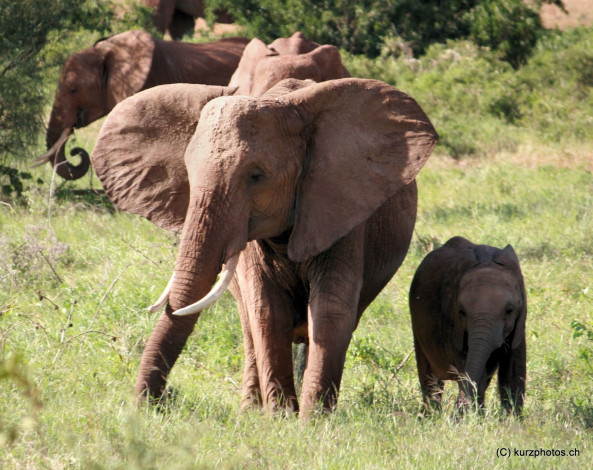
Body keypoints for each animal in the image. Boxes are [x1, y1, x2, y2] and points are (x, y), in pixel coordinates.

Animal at [91, 78, 434, 418]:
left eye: (256, 176)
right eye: (188, 174)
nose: (155, 403)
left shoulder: (339, 207)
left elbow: (330, 308)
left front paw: (313, 421)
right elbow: (268, 310)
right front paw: (281, 418)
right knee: (249, 326)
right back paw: (251, 411)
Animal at [408, 237, 528, 414]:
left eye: (509, 311)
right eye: (462, 312)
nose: (456, 412)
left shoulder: (520, 323)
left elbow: (513, 369)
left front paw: (511, 418)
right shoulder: (452, 324)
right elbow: (469, 366)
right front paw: (473, 415)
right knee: (429, 375)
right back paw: (430, 415)